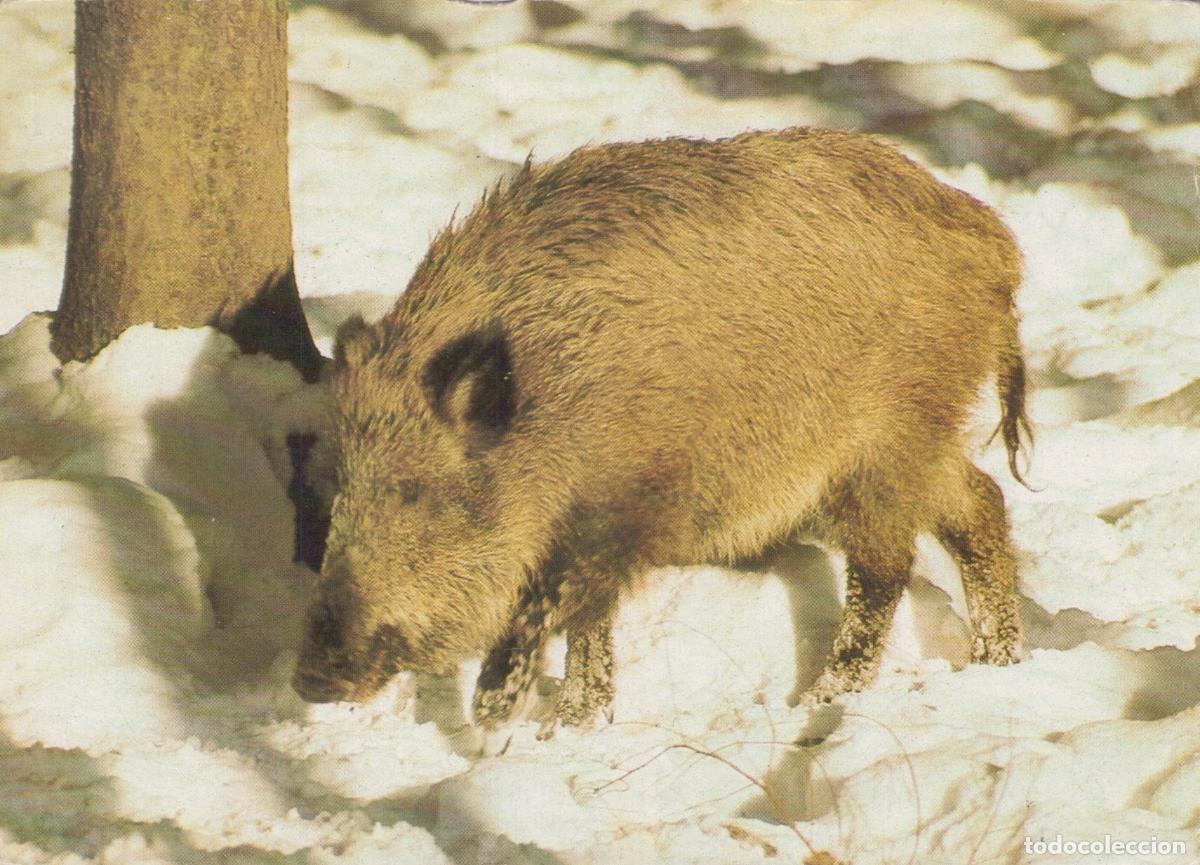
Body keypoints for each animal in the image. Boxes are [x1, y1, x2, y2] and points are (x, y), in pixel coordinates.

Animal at [292, 127, 1031, 730]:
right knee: (981, 501)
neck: (551, 407)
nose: (309, 679)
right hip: (922, 436)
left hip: (887, 437)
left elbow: (571, 599)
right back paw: (1000, 662)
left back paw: (820, 702)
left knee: (888, 564)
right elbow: (587, 614)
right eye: (335, 492)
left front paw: (508, 717)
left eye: (416, 492)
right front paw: (573, 722)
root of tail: (992, 239)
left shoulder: (627, 502)